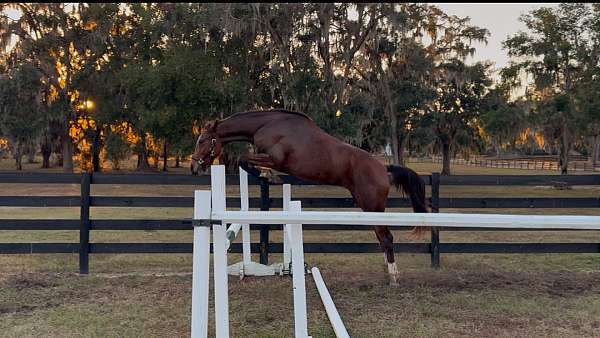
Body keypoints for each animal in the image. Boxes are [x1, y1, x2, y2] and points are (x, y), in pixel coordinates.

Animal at [191, 109, 426, 284]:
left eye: (202, 140)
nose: (194, 167)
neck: (266, 125)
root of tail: (383, 168)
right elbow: (245, 159)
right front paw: (268, 176)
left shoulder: (275, 159)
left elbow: (243, 158)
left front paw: (269, 176)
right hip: (369, 208)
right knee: (381, 237)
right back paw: (387, 271)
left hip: (372, 205)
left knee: (387, 238)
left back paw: (393, 276)